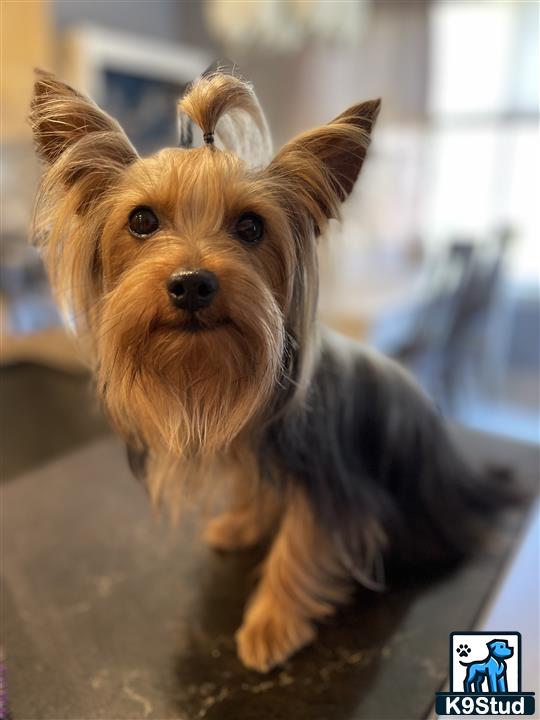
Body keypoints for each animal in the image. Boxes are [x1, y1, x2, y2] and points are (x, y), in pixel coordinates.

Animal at [30, 64, 506, 672]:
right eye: (141, 220)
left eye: (251, 227)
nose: (192, 283)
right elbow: (257, 491)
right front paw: (243, 524)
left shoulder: (330, 480)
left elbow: (302, 541)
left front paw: (271, 624)